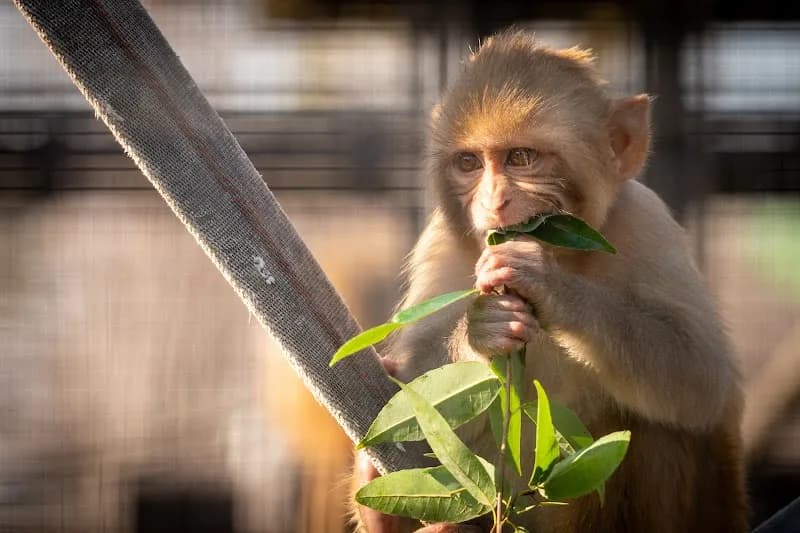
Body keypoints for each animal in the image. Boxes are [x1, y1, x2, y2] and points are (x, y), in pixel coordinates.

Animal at [354, 29, 747, 533]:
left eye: (520, 158)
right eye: (470, 163)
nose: (493, 202)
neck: (565, 251)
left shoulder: (646, 221)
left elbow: (700, 376)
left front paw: (549, 287)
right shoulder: (441, 244)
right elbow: (414, 386)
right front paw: (483, 327)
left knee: (654, 425)